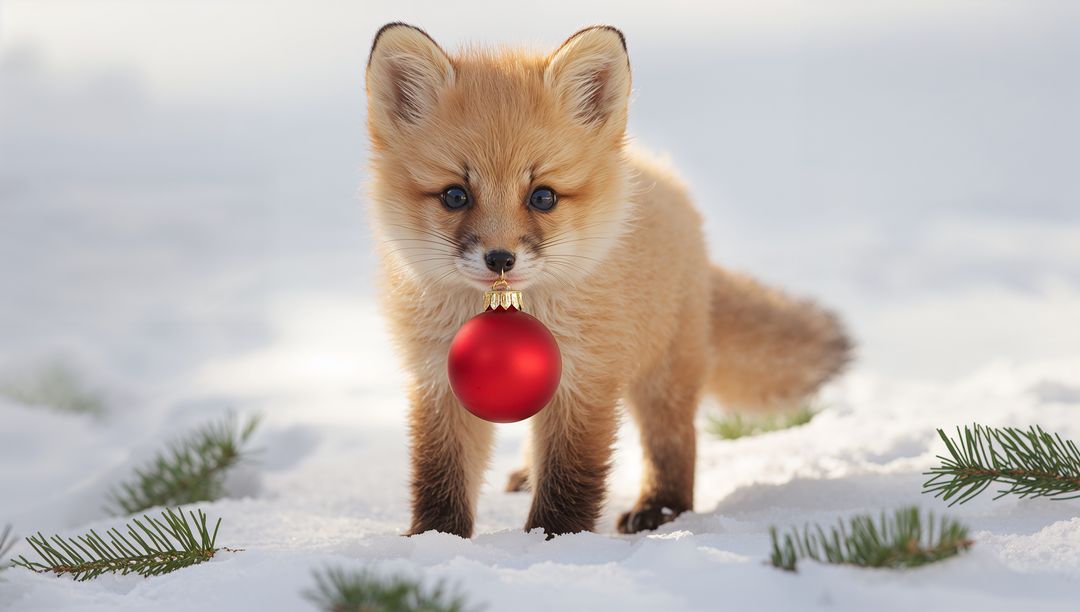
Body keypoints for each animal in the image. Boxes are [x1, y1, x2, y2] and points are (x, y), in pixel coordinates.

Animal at [365, 23, 851, 538]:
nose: (500, 259)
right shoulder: (438, 379)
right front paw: (434, 539)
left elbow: (570, 474)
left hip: (663, 376)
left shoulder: (589, 378)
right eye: (455, 195)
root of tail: (663, 176)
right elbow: (441, 471)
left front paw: (554, 540)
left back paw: (660, 508)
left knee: (675, 442)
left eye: (542, 196)